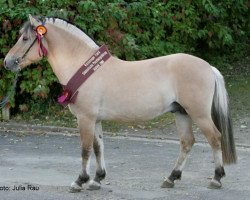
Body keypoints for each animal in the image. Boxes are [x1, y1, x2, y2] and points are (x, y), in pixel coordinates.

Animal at [3, 15, 236, 191]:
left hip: (199, 114)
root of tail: (208, 67)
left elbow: (85, 149)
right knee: (187, 142)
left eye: (25, 38)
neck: (83, 66)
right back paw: (171, 178)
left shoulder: (85, 118)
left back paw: (216, 178)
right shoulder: (95, 120)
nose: (7, 62)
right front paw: (97, 179)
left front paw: (80, 181)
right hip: (181, 113)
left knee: (215, 138)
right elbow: (98, 147)